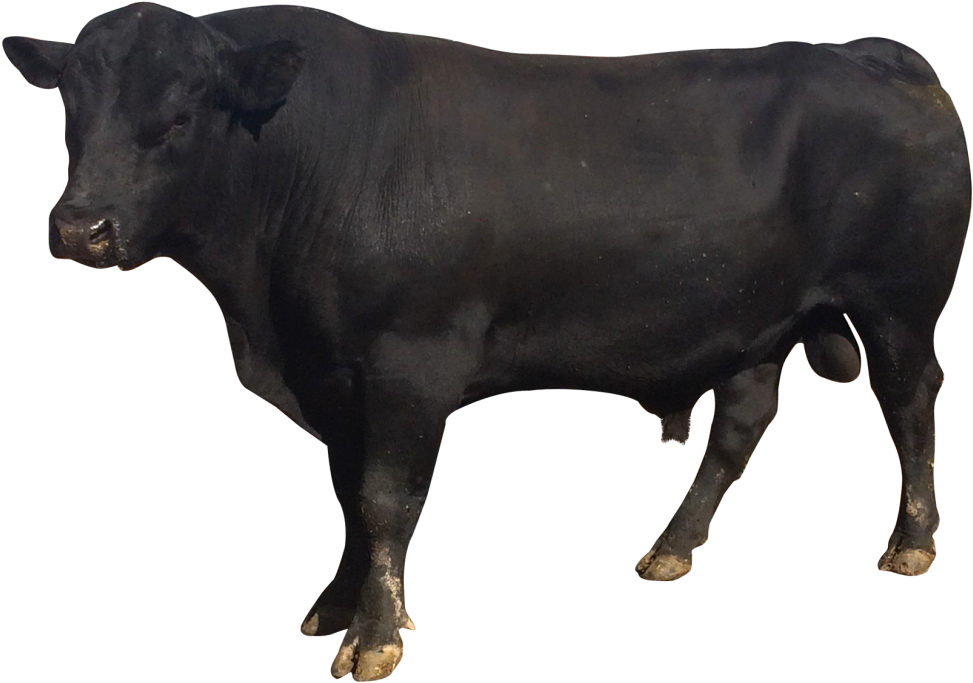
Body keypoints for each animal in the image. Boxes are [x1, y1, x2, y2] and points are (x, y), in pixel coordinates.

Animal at [4, 3, 968, 680]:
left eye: (179, 118)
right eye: (72, 116)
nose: (80, 228)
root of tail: (869, 52)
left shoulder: (409, 363)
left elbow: (387, 498)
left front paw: (374, 637)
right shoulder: (332, 373)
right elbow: (348, 494)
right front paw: (335, 606)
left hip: (895, 301)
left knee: (909, 399)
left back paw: (912, 542)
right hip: (755, 317)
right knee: (742, 419)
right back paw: (669, 547)